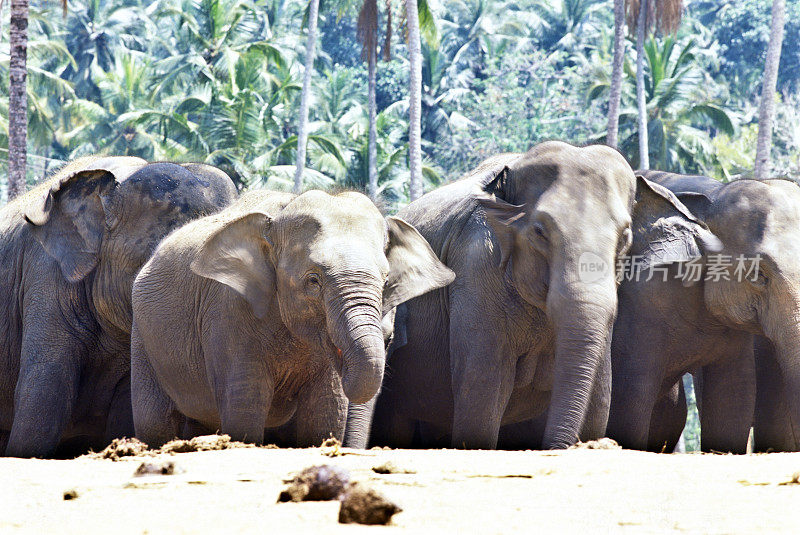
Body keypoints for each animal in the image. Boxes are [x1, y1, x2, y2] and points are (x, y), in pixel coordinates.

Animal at [129, 188, 454, 448]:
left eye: (386, 280)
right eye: (313, 280)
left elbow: (325, 412)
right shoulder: (227, 312)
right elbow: (244, 408)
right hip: (143, 340)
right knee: (155, 422)